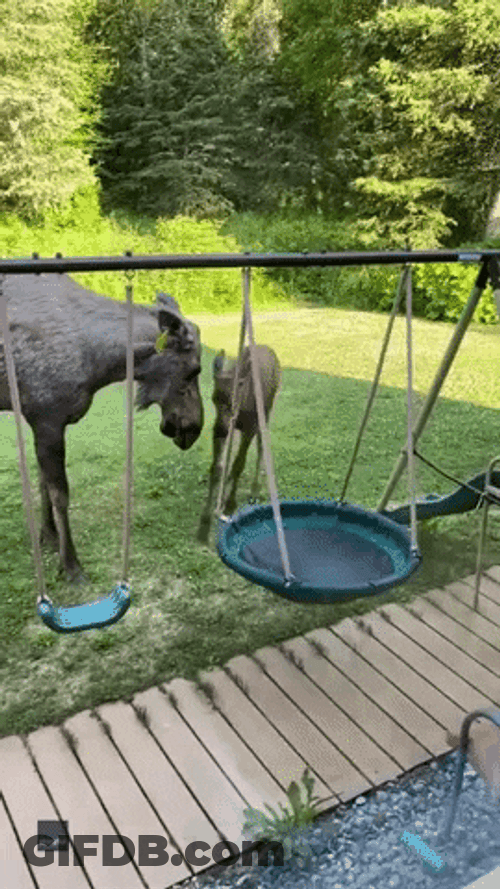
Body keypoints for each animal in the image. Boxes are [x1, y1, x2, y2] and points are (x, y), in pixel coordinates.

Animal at [0, 273, 204, 583]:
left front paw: (49, 537)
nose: (194, 428)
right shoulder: (47, 419)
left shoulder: (38, 420)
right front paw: (71, 565)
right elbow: (60, 494)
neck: (99, 363)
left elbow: (43, 484)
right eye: (194, 371)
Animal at [197, 344, 281, 544]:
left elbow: (239, 464)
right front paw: (204, 523)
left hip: (266, 411)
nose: (221, 429)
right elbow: (217, 467)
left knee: (261, 446)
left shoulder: (250, 427)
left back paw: (254, 490)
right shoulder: (223, 427)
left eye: (233, 401)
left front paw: (230, 504)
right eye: (213, 399)